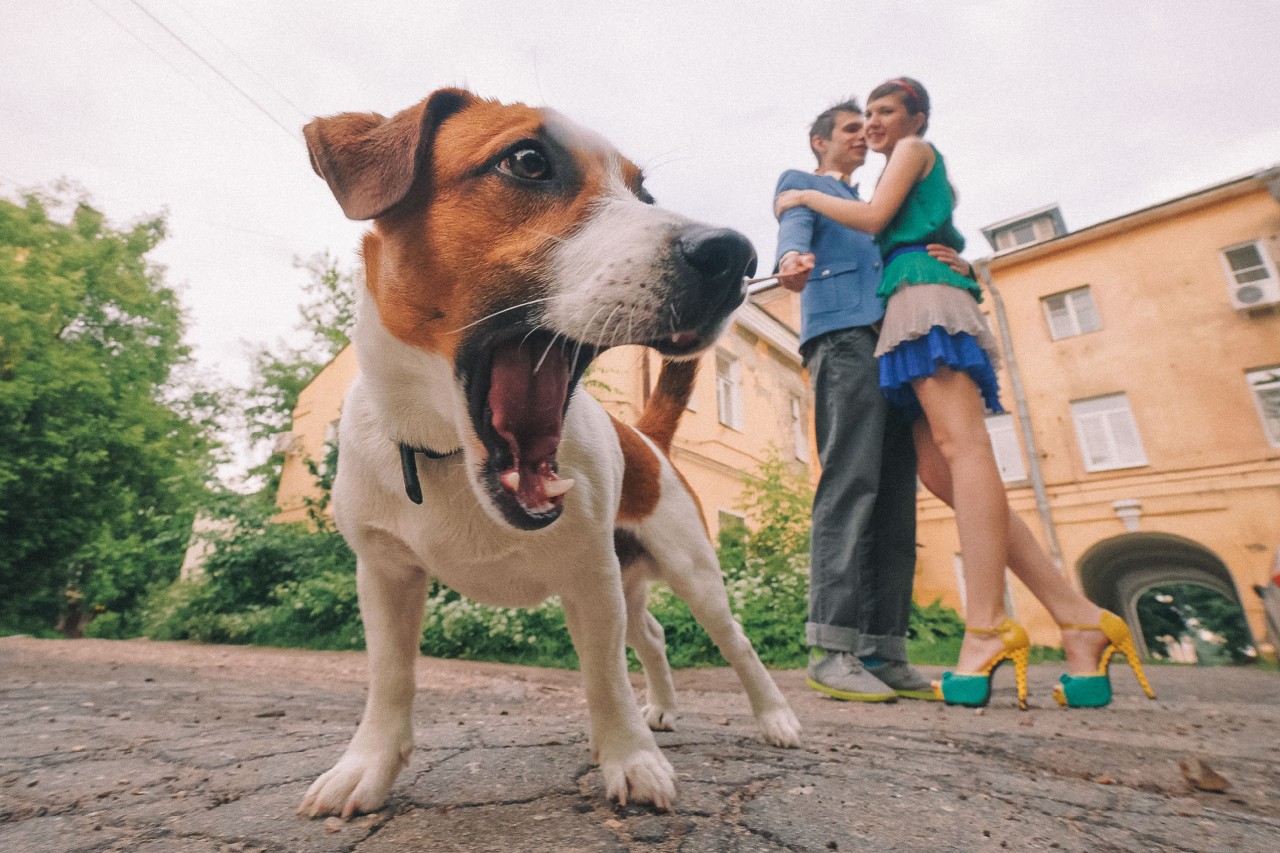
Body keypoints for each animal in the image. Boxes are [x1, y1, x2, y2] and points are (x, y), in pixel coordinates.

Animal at [298, 89, 798, 814]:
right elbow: (390, 677)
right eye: (528, 161)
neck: (447, 452)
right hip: (631, 579)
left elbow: (605, 678)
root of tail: (647, 436)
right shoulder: (385, 573)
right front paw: (367, 765)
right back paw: (663, 707)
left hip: (693, 574)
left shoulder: (589, 579)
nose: (736, 255)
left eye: (644, 194)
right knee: (651, 635)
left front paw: (629, 759)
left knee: (736, 647)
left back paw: (774, 717)